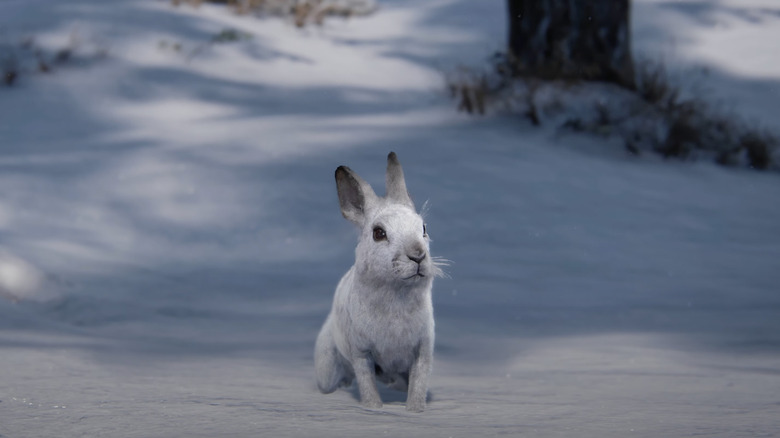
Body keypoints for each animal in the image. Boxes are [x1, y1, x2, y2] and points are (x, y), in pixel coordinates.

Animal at [314, 152, 442, 412]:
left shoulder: (423, 351)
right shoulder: (362, 353)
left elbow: (419, 384)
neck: (396, 292)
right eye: (379, 233)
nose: (417, 256)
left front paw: (415, 410)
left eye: (423, 228)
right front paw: (374, 408)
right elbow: (367, 384)